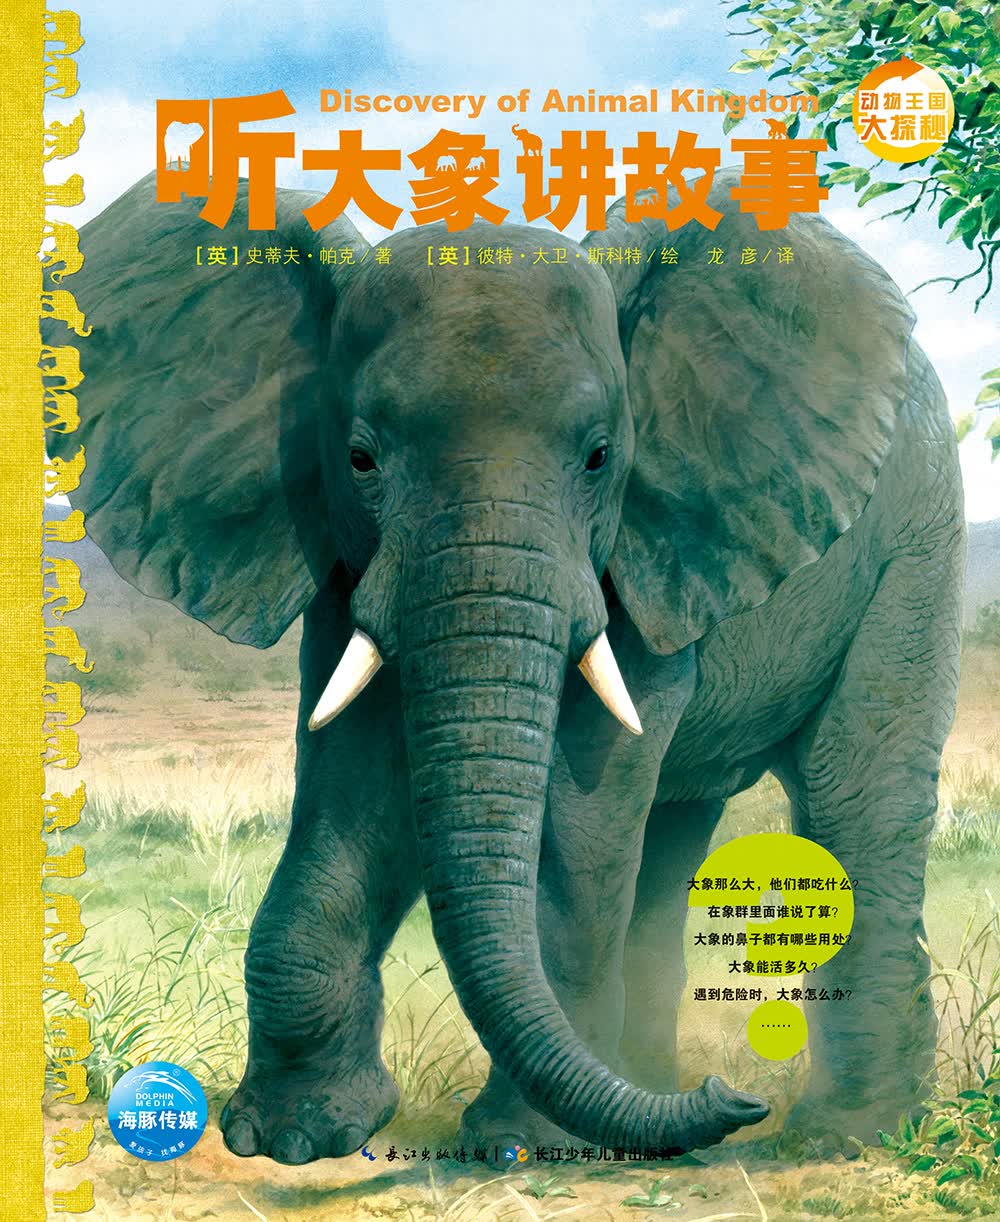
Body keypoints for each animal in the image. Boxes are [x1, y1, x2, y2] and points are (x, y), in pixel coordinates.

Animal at [50, 169, 964, 1165]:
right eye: (360, 457)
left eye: (600, 457)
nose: (736, 1100)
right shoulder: (343, 559)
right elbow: (355, 783)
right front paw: (292, 1138)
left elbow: (577, 804)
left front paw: (527, 1147)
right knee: (674, 836)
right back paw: (661, 1097)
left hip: (918, 540)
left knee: (855, 798)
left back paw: (848, 1138)